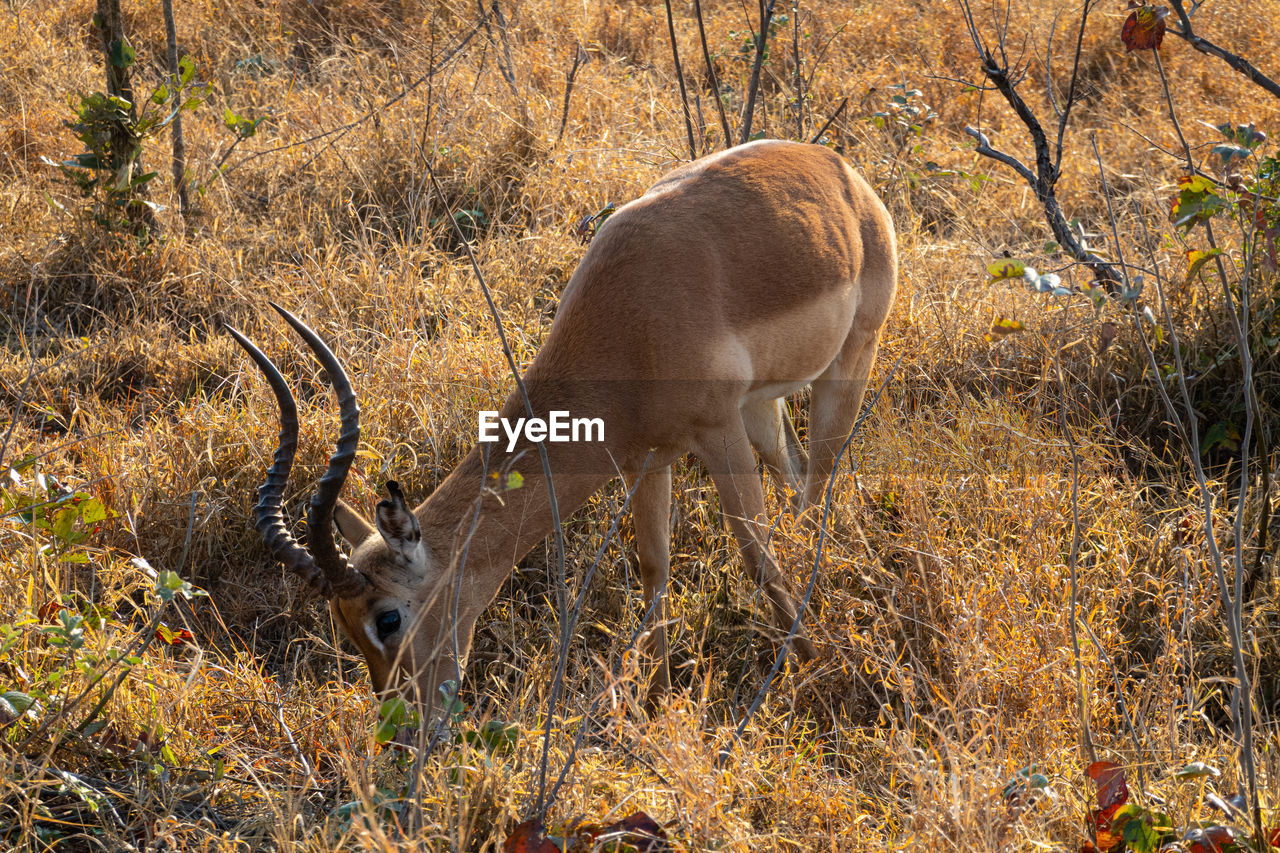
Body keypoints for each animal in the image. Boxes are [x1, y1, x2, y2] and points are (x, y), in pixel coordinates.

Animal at [225, 142, 896, 712]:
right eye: (340, 624)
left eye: (387, 616)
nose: (404, 717)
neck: (630, 324)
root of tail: (838, 169)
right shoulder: (647, 458)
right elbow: (654, 566)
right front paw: (656, 695)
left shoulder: (715, 428)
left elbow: (755, 556)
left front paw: (812, 666)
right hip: (765, 409)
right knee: (799, 480)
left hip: (848, 364)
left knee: (820, 482)